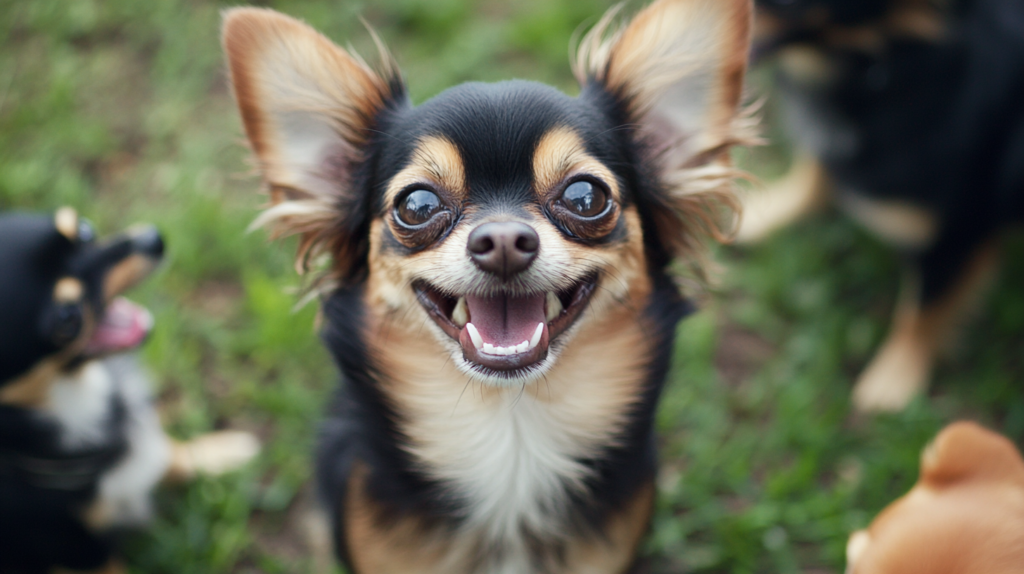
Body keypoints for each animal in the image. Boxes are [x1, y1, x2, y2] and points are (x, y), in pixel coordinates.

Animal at [1, 209, 256, 572]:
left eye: (82, 230)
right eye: (67, 319)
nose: (153, 240)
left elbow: (170, 455)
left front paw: (223, 451)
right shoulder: (82, 552)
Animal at [741, 0, 1024, 411]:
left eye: (788, 5)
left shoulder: (957, 236)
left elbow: (921, 312)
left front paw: (894, 377)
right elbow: (817, 168)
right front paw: (772, 210)